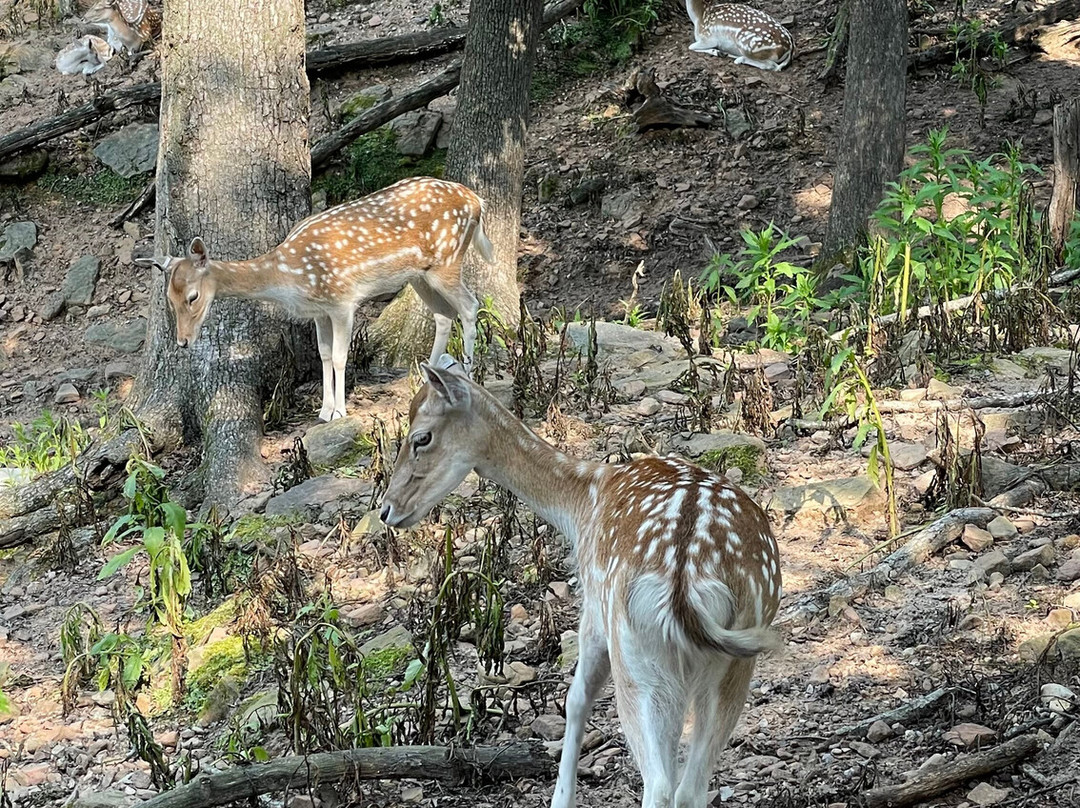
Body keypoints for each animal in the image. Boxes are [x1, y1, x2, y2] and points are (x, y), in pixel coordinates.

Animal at [135, 177, 492, 423]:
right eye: (168, 298)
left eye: (193, 296)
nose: (182, 341)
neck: (290, 276)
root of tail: (477, 200)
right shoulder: (319, 311)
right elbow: (323, 354)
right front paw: (324, 410)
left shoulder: (343, 301)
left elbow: (340, 357)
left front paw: (341, 412)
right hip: (420, 275)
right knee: (444, 314)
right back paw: (430, 378)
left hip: (447, 260)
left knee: (470, 306)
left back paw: (469, 375)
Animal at [380, 355, 782, 808]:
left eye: (421, 437)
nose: (387, 509)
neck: (582, 504)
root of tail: (686, 582)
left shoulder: (592, 605)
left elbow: (576, 698)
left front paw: (560, 799)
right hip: (734, 661)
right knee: (689, 788)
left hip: (639, 657)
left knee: (661, 786)